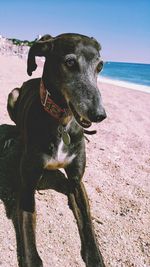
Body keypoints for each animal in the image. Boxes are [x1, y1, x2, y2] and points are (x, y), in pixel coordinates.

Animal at [6, 33, 105, 267]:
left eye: (100, 66)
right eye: (70, 62)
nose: (100, 115)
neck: (62, 122)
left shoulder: (76, 181)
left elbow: (87, 221)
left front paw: (95, 256)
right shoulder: (27, 184)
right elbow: (28, 231)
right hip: (12, 94)